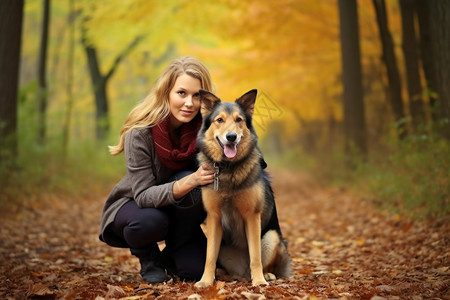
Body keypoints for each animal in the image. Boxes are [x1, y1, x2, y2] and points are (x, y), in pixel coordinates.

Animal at [193, 89, 292, 288]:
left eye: (239, 119)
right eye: (219, 120)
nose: (231, 136)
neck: (228, 168)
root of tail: (243, 272)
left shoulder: (252, 216)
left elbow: (255, 256)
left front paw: (259, 281)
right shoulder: (214, 217)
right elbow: (209, 257)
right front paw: (205, 281)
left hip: (272, 236)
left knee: (264, 262)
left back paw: (266, 275)